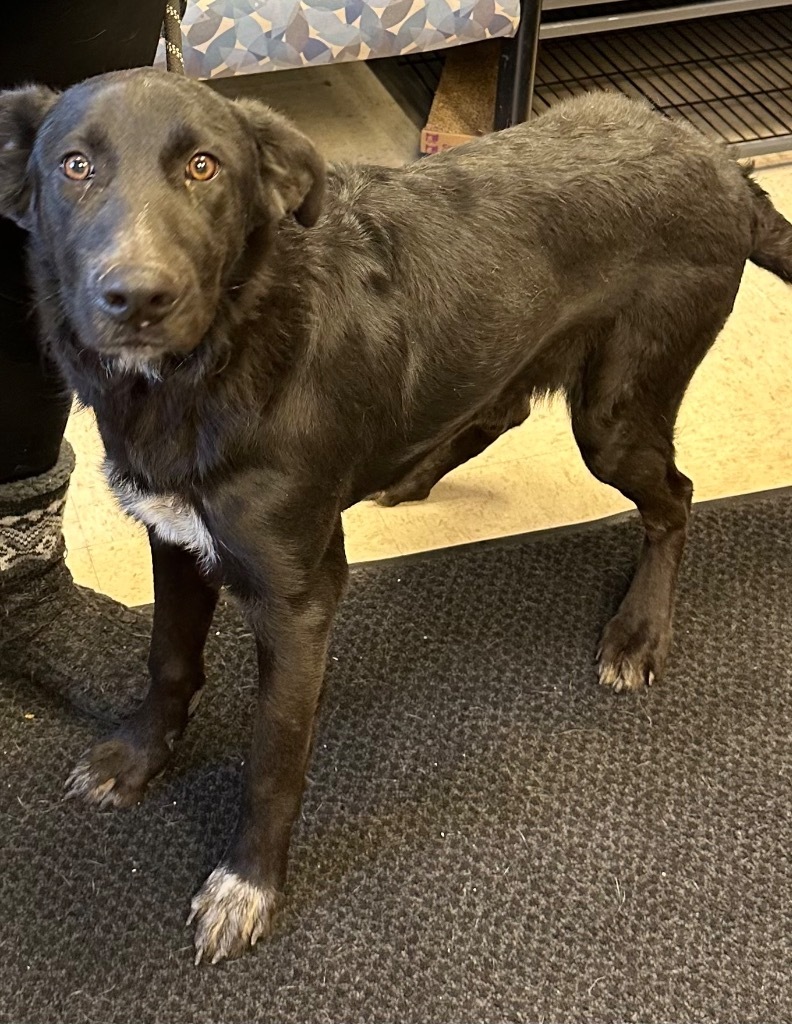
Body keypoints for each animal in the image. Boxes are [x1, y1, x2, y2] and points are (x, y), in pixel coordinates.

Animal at [1, 68, 790, 962]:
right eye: (74, 166)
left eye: (205, 167)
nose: (137, 297)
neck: (227, 351)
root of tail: (725, 166)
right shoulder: (172, 535)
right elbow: (167, 658)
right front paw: (139, 757)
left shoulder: (300, 597)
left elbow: (274, 756)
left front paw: (249, 884)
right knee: (503, 406)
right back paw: (414, 473)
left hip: (618, 413)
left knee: (676, 499)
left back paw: (639, 632)